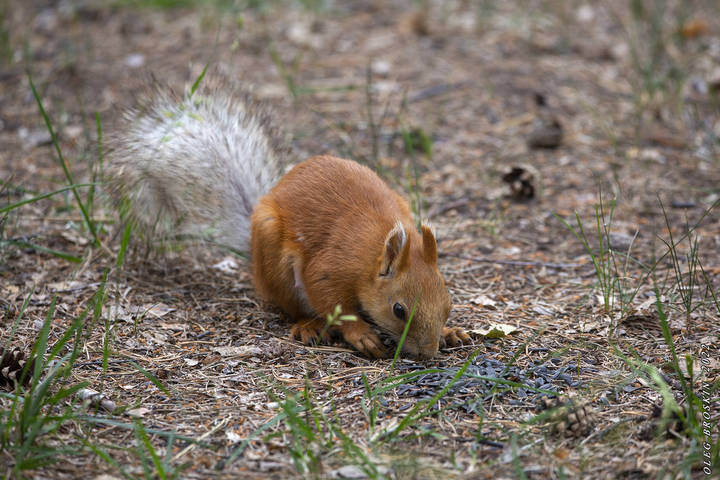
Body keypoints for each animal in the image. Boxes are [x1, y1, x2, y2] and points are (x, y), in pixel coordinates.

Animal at [107, 76, 471, 359]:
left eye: (448, 303)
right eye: (399, 310)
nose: (427, 354)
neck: (372, 252)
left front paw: (450, 331)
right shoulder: (329, 269)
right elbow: (332, 303)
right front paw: (361, 335)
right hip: (276, 264)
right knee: (291, 309)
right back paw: (308, 326)